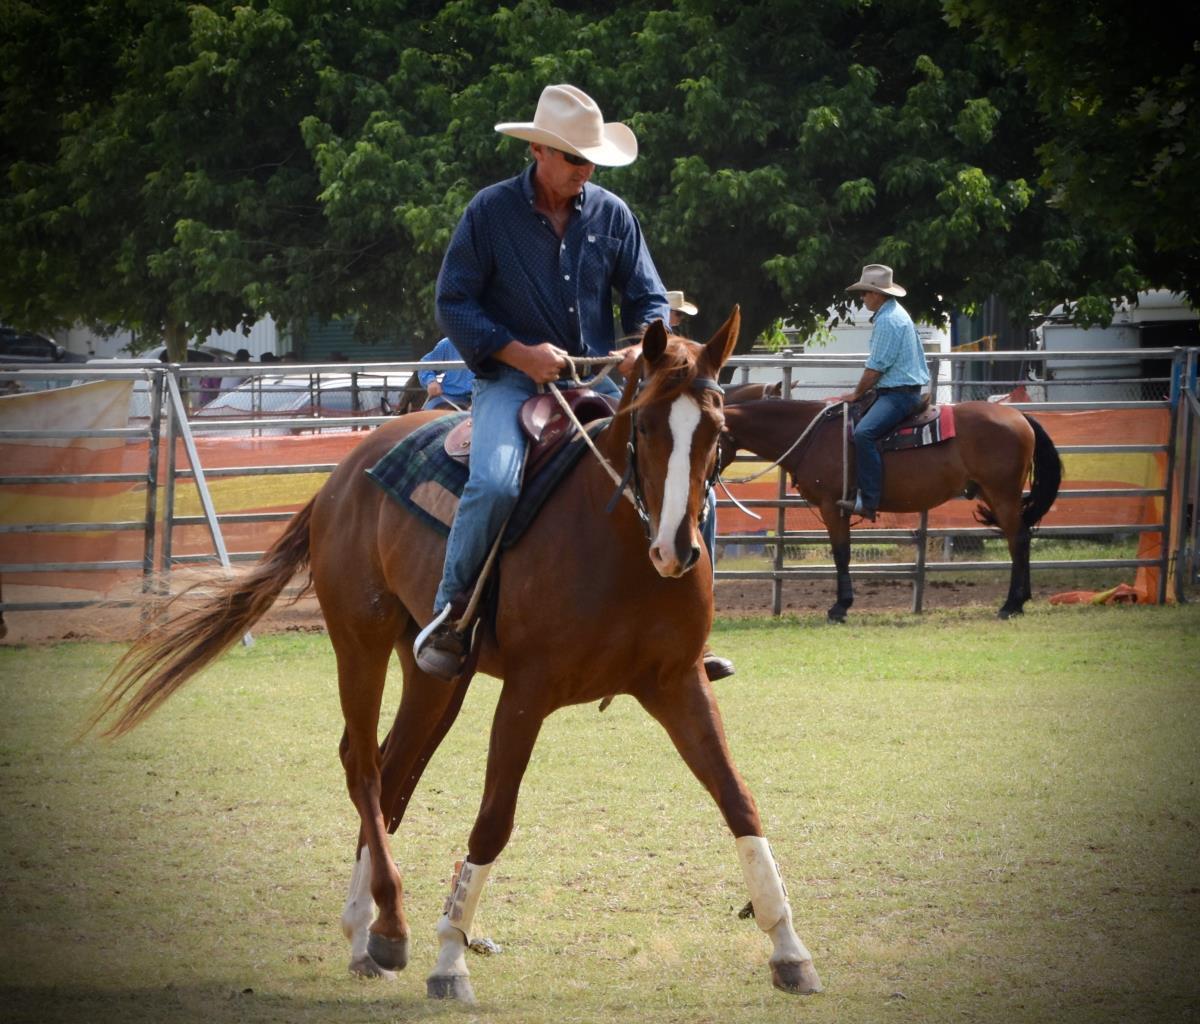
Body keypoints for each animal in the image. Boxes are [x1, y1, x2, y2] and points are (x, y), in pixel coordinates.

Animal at [89, 311, 823, 1004]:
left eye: (716, 430)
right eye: (643, 424)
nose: (677, 548)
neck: (616, 542)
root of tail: (343, 474)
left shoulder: (677, 685)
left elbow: (739, 802)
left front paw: (791, 952)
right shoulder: (526, 693)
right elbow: (493, 821)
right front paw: (449, 959)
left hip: (436, 676)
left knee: (394, 771)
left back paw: (365, 934)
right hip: (360, 643)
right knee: (363, 766)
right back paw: (390, 928)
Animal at [720, 397, 1063, 622]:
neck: (811, 436)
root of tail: (1020, 416)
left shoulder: (833, 506)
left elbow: (841, 554)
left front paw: (840, 608)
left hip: (1002, 493)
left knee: (1017, 540)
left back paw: (1010, 605)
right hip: (994, 494)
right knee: (1021, 537)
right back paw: (1020, 602)